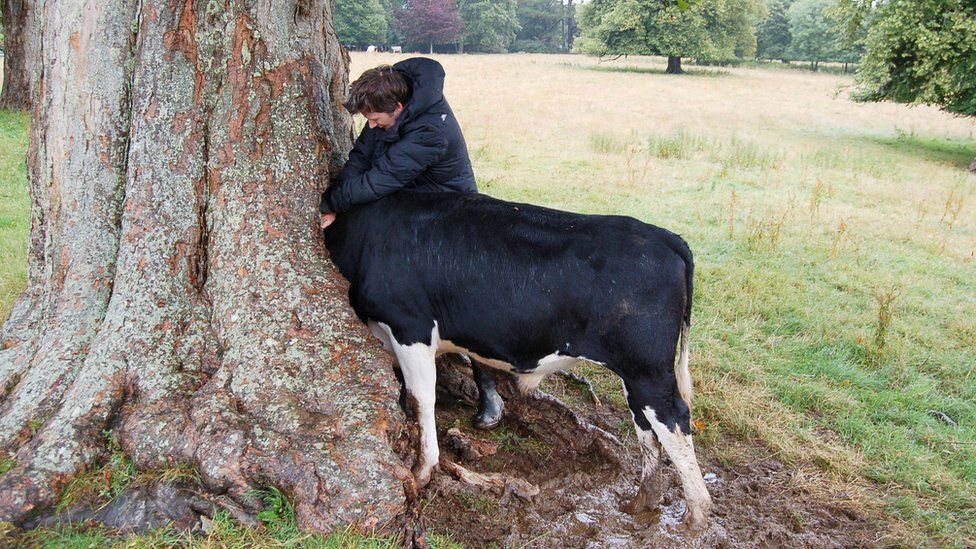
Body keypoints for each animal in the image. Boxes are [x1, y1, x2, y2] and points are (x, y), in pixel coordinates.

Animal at [322, 191, 712, 529]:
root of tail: (663, 236)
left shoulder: (409, 326)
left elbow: (421, 398)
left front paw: (423, 469)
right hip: (635, 373)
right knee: (646, 425)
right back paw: (644, 499)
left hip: (648, 370)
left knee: (674, 420)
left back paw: (696, 512)